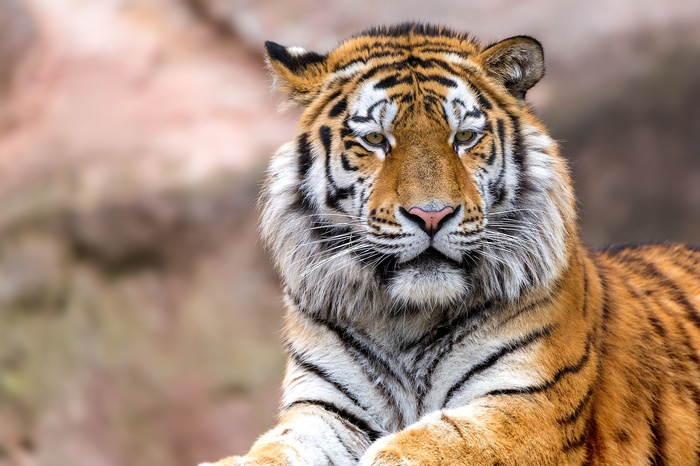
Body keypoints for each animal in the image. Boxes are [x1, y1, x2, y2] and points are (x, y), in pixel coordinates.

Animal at [200, 23, 700, 466]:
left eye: (464, 137)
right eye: (376, 140)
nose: (431, 215)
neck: (407, 319)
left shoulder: (530, 407)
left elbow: (426, 444)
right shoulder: (325, 410)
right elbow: (277, 448)